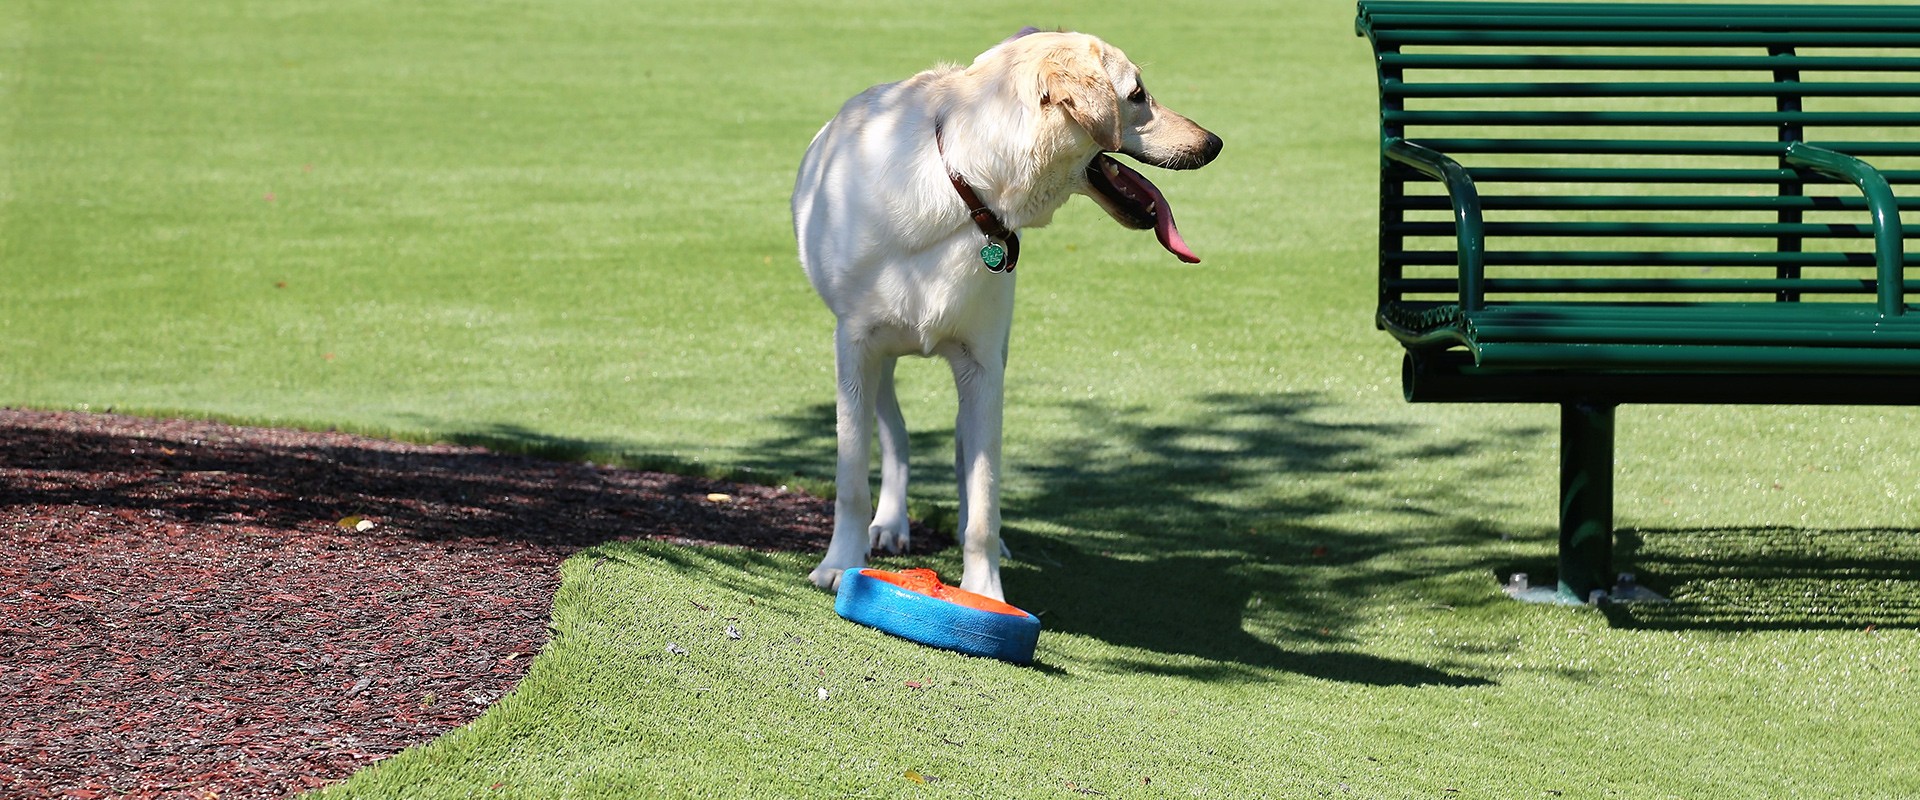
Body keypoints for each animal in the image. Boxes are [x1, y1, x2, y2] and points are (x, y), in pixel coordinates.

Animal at [787, 28, 1221, 598]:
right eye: (1137, 95)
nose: (1214, 142)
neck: (964, 185)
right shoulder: (855, 349)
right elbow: (852, 477)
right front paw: (839, 564)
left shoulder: (984, 366)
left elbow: (983, 497)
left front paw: (985, 591)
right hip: (876, 359)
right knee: (895, 434)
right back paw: (889, 524)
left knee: (958, 450)